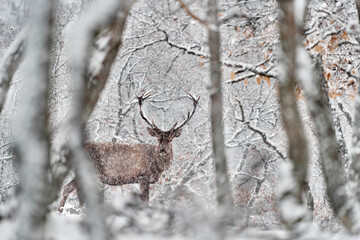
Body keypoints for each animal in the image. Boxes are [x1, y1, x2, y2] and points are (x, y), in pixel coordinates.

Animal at [58, 90, 200, 212]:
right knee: (74, 191)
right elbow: (145, 202)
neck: (156, 165)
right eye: (158, 139)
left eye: (170, 139)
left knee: (69, 188)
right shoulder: (143, 176)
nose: (162, 150)